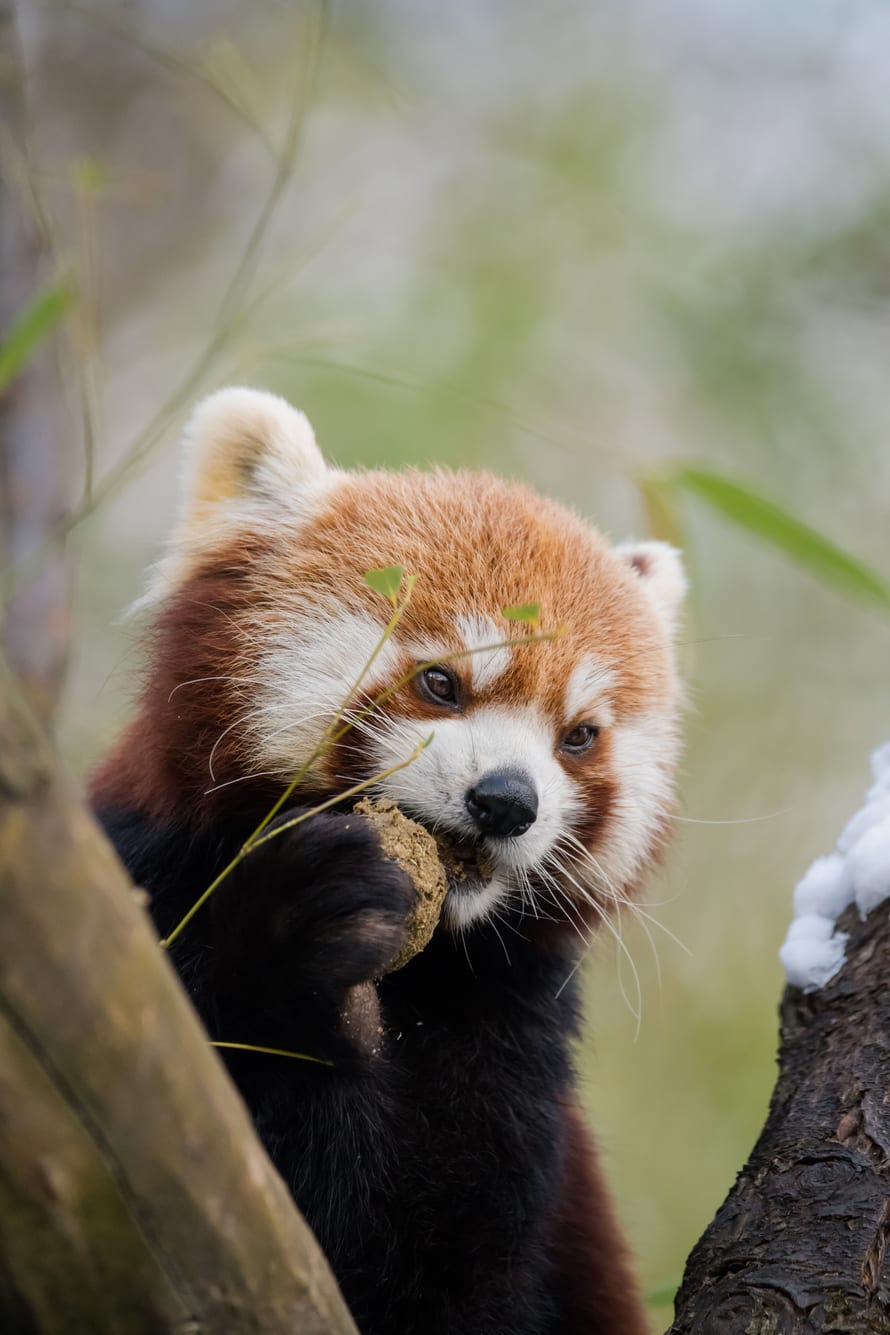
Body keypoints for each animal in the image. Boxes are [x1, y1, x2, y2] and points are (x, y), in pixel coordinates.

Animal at [91, 387, 685, 1335]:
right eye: (441, 682)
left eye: (580, 736)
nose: (507, 800)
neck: (418, 963)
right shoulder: (141, 872)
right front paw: (299, 936)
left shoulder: (510, 1021)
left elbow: (435, 1260)